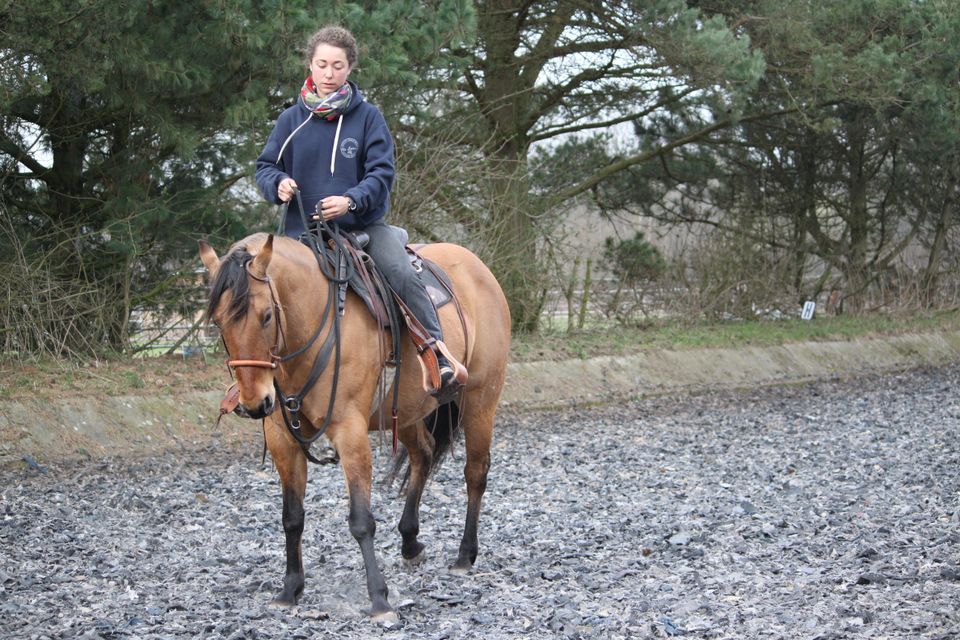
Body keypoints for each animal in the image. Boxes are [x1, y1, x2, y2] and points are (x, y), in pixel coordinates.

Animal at [200, 232, 512, 624]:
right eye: (218, 321)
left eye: (266, 315)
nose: (255, 403)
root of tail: (477, 266)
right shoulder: (282, 439)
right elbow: (292, 518)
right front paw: (289, 590)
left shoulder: (350, 433)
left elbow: (362, 521)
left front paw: (379, 599)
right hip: (406, 410)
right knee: (423, 456)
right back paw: (410, 541)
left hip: (481, 400)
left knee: (475, 473)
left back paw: (464, 555)